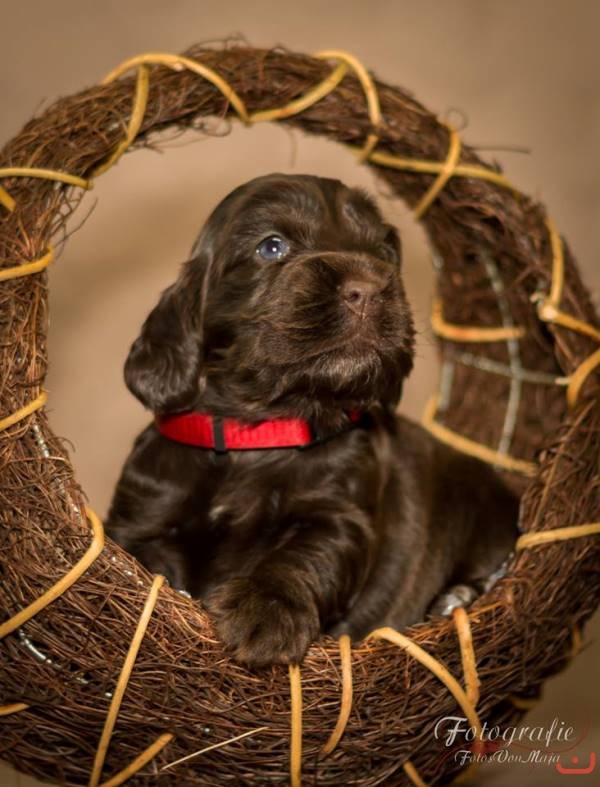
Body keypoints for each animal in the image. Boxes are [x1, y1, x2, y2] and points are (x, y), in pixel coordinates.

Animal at [105, 173, 519, 666]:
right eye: (272, 246)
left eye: (384, 251)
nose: (369, 288)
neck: (257, 433)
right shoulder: (139, 521)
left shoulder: (340, 515)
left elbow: (304, 557)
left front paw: (266, 611)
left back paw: (458, 596)